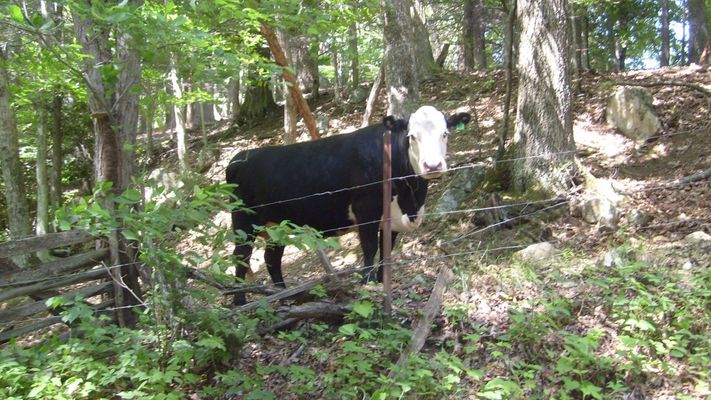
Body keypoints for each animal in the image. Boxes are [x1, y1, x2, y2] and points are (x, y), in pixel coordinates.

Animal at [226, 106, 471, 304]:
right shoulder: (366, 209)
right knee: (242, 256)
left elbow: (386, 250)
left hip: (278, 226)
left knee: (271, 259)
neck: (410, 200)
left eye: (445, 134)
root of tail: (239, 157)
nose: (433, 166)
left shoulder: (391, 219)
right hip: (243, 221)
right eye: (412, 136)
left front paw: (382, 281)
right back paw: (240, 300)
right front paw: (367, 283)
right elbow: (370, 247)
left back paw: (284, 297)